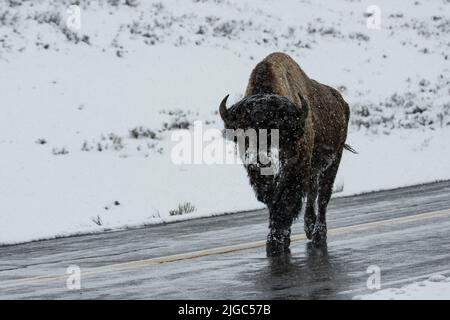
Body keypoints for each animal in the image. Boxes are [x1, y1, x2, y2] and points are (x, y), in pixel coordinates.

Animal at [220, 52, 354, 255]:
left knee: (323, 196)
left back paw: (318, 234)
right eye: (243, 134)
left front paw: (276, 241)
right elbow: (274, 203)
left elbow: (285, 202)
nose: (258, 161)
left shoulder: (294, 171)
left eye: (276, 130)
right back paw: (309, 228)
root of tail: (341, 102)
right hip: (314, 169)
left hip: (333, 160)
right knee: (312, 193)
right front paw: (278, 239)